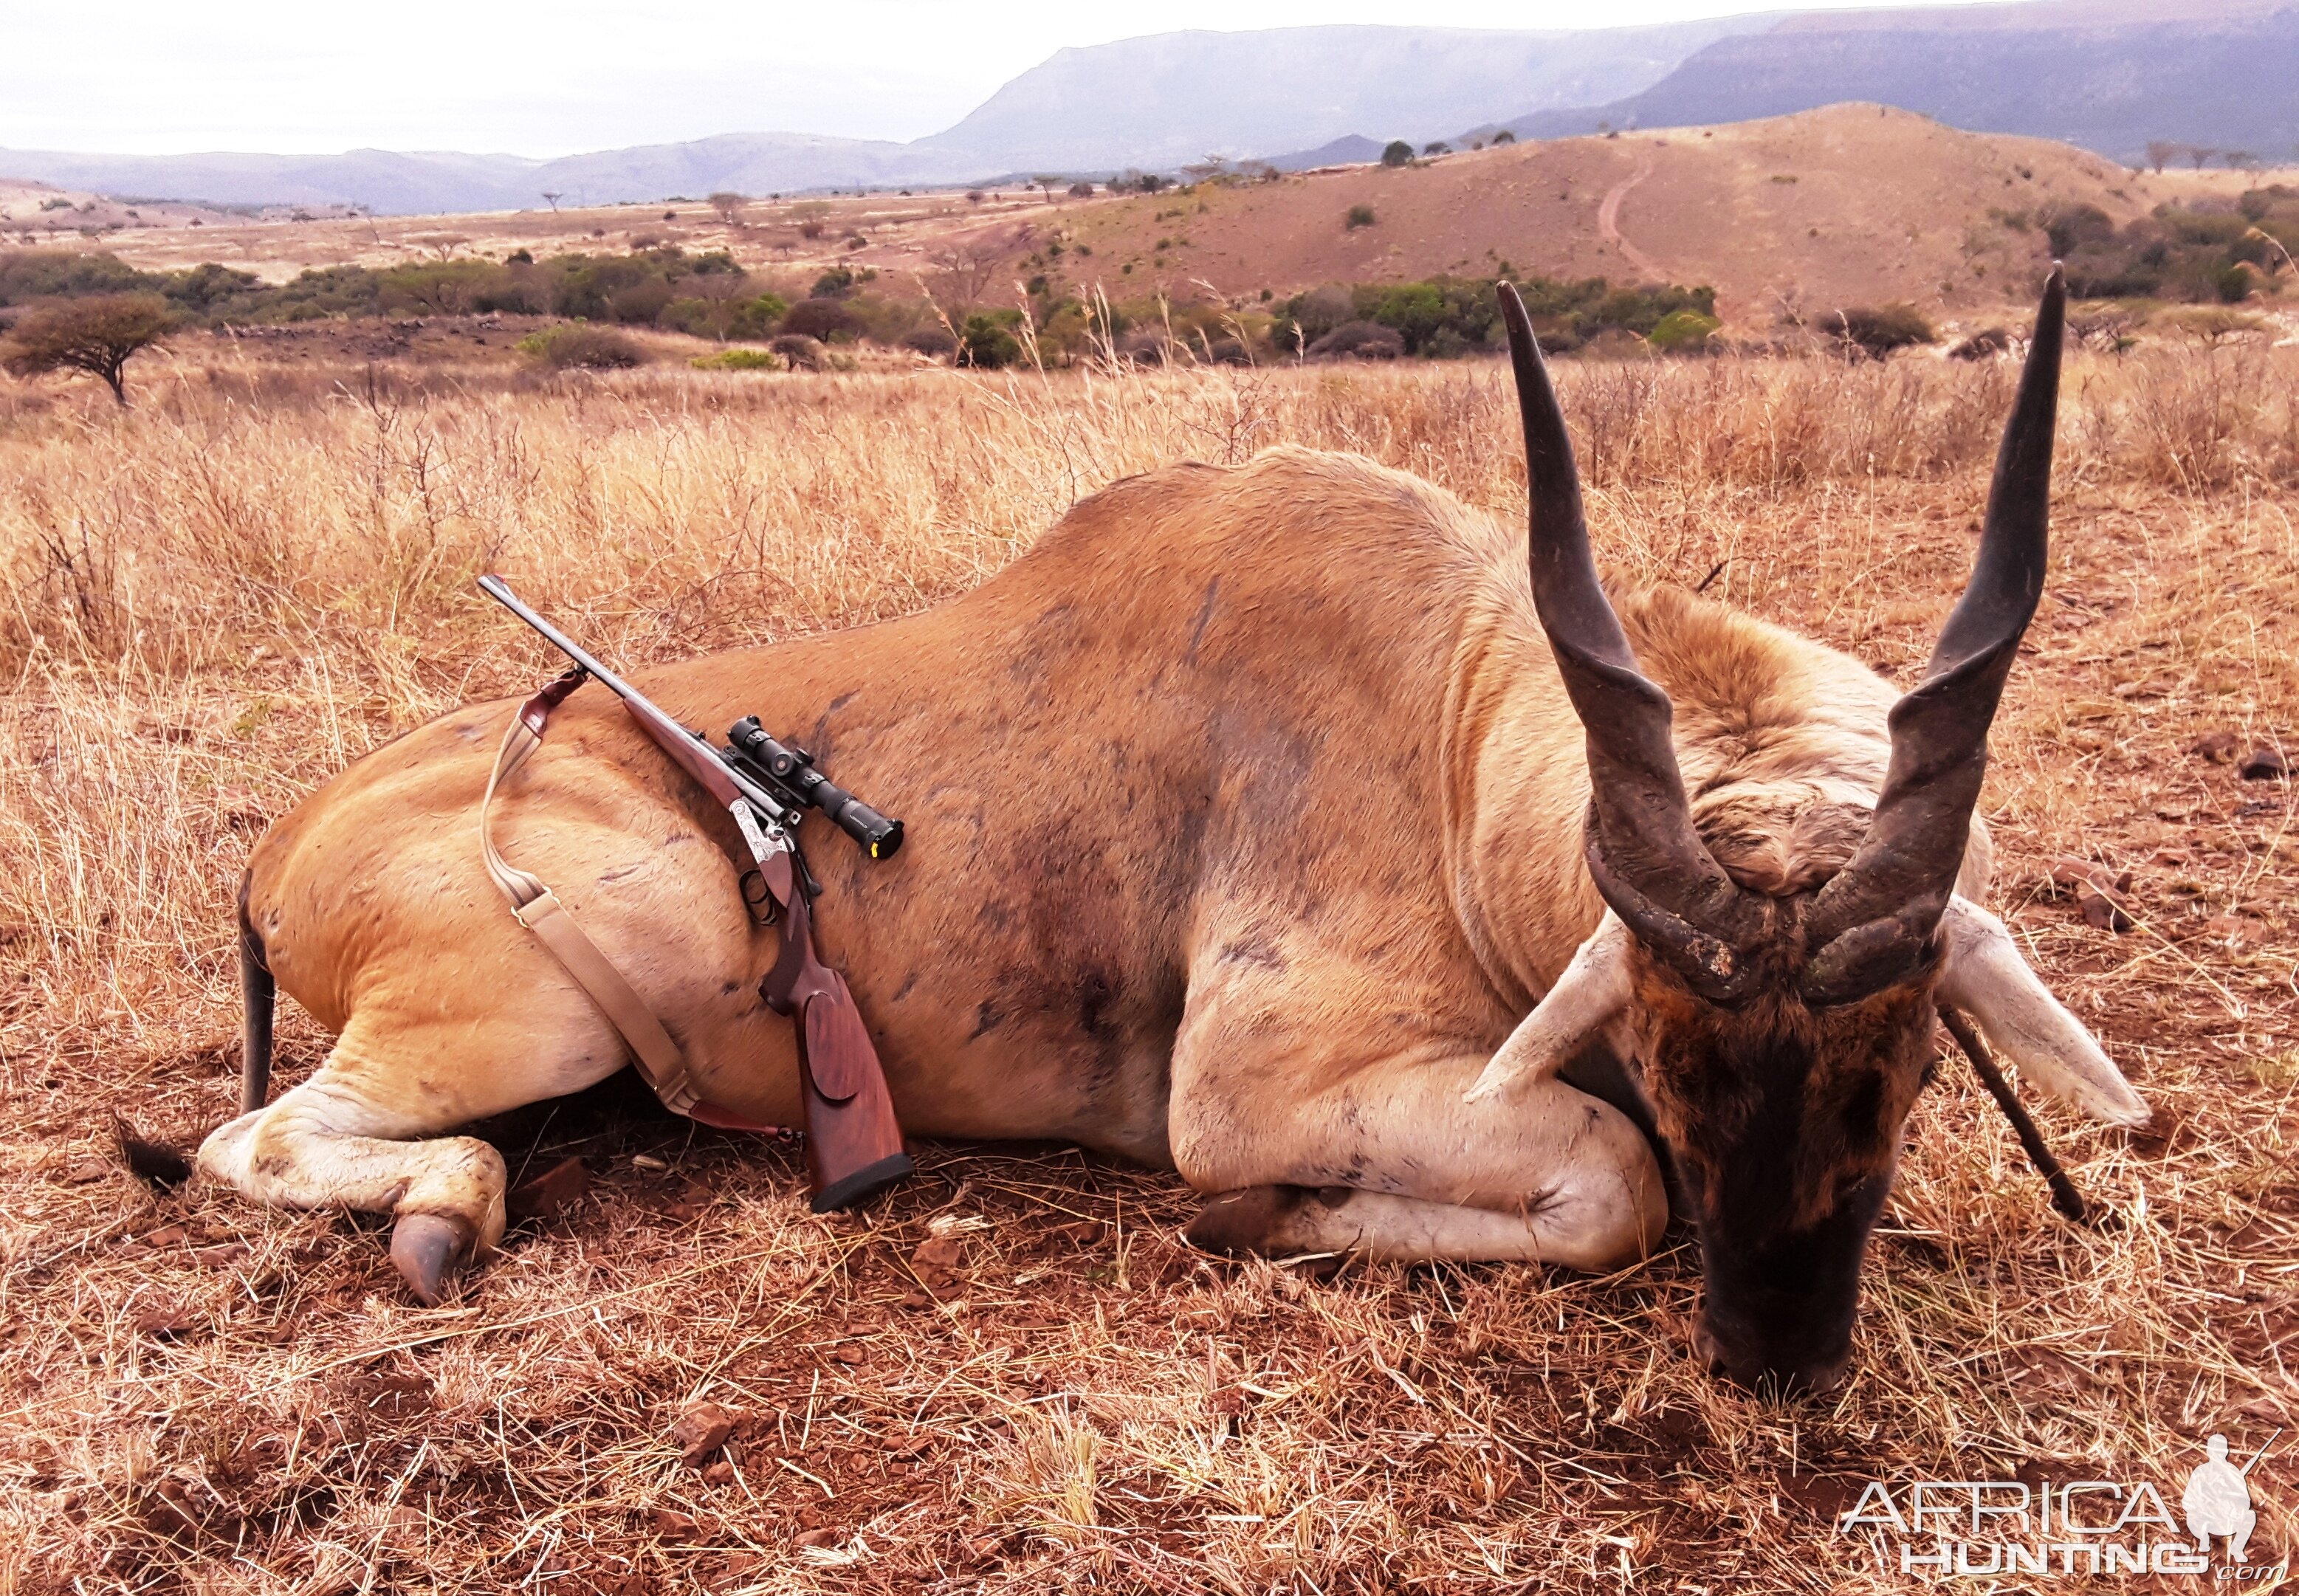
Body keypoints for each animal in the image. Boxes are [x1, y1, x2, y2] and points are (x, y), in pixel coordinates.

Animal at [193, 275, 2133, 1389]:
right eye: (1665, 1048)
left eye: (1911, 1063)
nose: (1777, 1358)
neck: (1446, 720)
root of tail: (278, 852)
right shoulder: (1261, 1091)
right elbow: (1608, 1183)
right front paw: (1260, 1223)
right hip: (556, 991)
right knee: (259, 1138)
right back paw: (443, 1215)